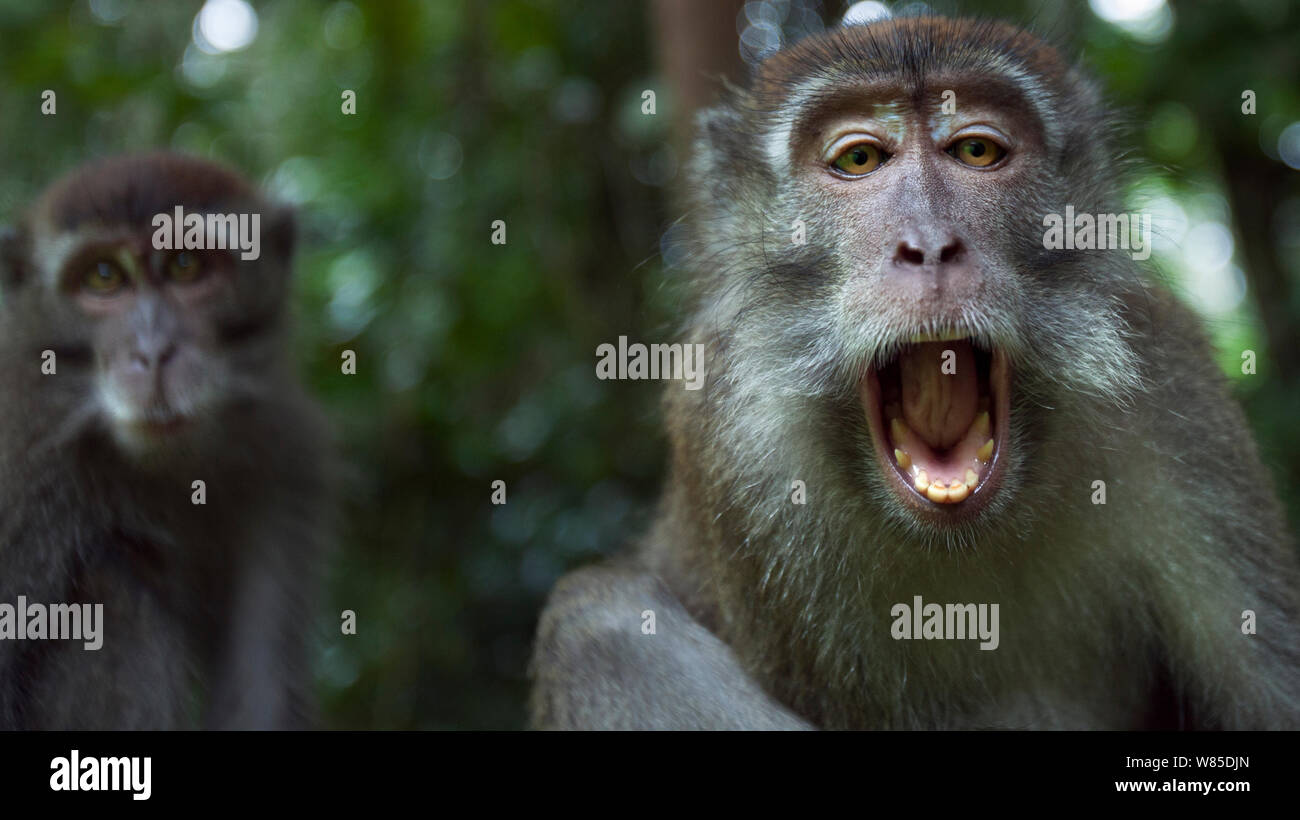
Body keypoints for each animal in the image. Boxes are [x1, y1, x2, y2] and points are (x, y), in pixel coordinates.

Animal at [530, 14, 1300, 732]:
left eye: (977, 150)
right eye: (859, 158)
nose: (929, 245)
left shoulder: (1176, 386)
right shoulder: (732, 445)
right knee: (595, 625)